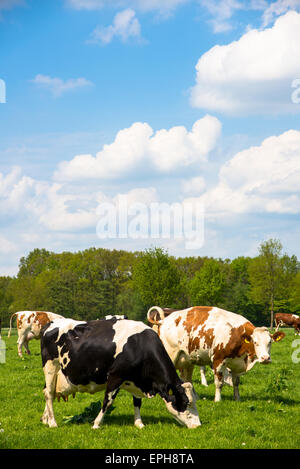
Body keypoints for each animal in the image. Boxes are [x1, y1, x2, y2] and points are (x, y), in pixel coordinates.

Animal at [39, 314, 199, 428]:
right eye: (187, 402)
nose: (198, 426)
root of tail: (51, 323)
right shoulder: (115, 376)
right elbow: (108, 401)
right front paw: (96, 424)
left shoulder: (135, 378)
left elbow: (137, 401)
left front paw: (139, 423)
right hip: (50, 366)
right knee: (49, 393)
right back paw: (52, 423)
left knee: (48, 391)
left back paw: (45, 419)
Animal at [146, 306, 284, 400]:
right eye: (255, 342)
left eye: (270, 342)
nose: (265, 358)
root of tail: (163, 321)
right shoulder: (218, 360)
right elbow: (219, 383)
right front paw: (217, 399)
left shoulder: (236, 363)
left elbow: (236, 382)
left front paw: (237, 398)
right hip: (170, 355)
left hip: (187, 359)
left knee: (187, 378)